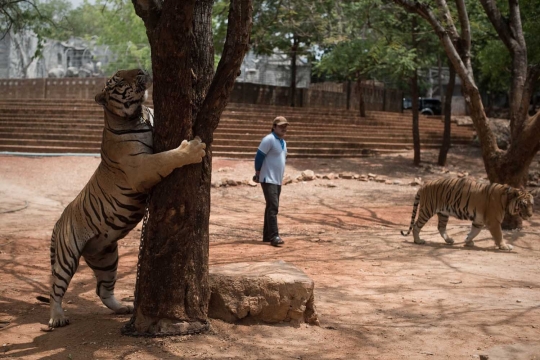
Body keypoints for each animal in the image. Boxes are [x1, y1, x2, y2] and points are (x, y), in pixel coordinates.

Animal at [38, 68, 207, 330]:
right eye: (118, 81)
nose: (141, 70)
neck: (139, 115)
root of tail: (58, 222)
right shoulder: (141, 166)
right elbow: (167, 157)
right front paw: (194, 149)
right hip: (67, 256)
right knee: (56, 287)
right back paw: (57, 317)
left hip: (107, 257)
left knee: (102, 290)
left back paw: (123, 308)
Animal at [400, 177, 532, 250]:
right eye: (524, 205)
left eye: (532, 204)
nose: (530, 215)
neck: (507, 200)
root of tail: (424, 185)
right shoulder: (494, 222)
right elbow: (499, 235)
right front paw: (504, 246)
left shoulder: (479, 220)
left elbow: (474, 232)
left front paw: (468, 241)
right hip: (427, 210)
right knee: (416, 225)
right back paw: (418, 241)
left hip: (443, 213)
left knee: (441, 227)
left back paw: (449, 240)